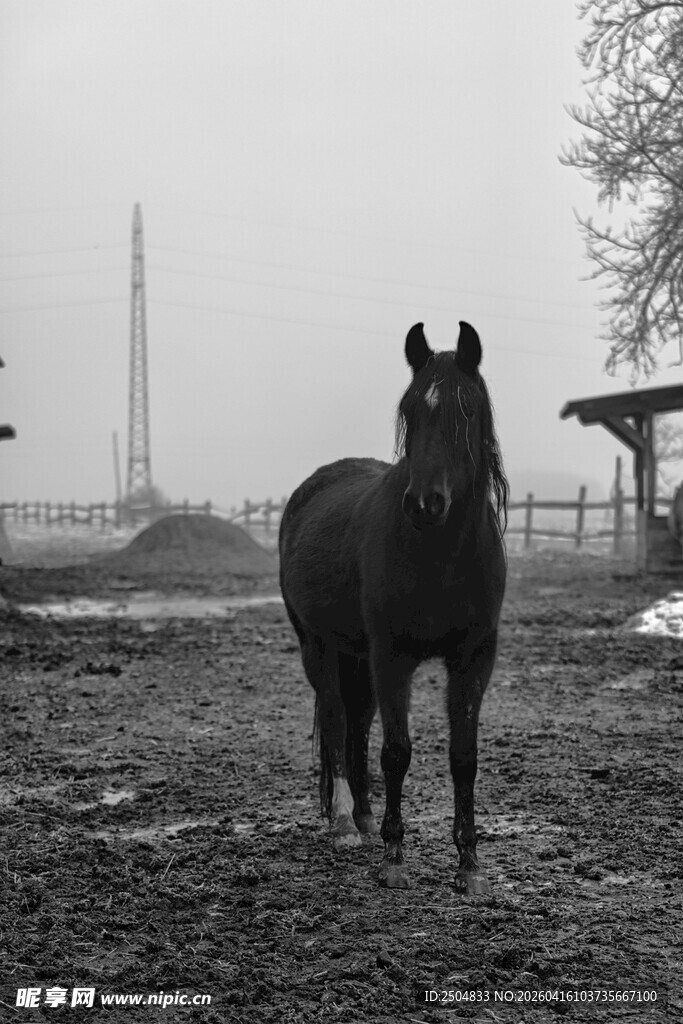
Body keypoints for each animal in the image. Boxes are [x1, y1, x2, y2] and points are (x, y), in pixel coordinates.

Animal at [279, 321, 508, 893]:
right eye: (409, 410)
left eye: (466, 409)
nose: (424, 503)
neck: (440, 557)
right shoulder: (392, 656)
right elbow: (397, 751)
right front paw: (394, 857)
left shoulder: (474, 657)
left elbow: (463, 756)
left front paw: (470, 865)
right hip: (319, 648)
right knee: (337, 717)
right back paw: (344, 824)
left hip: (355, 655)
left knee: (358, 722)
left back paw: (362, 815)